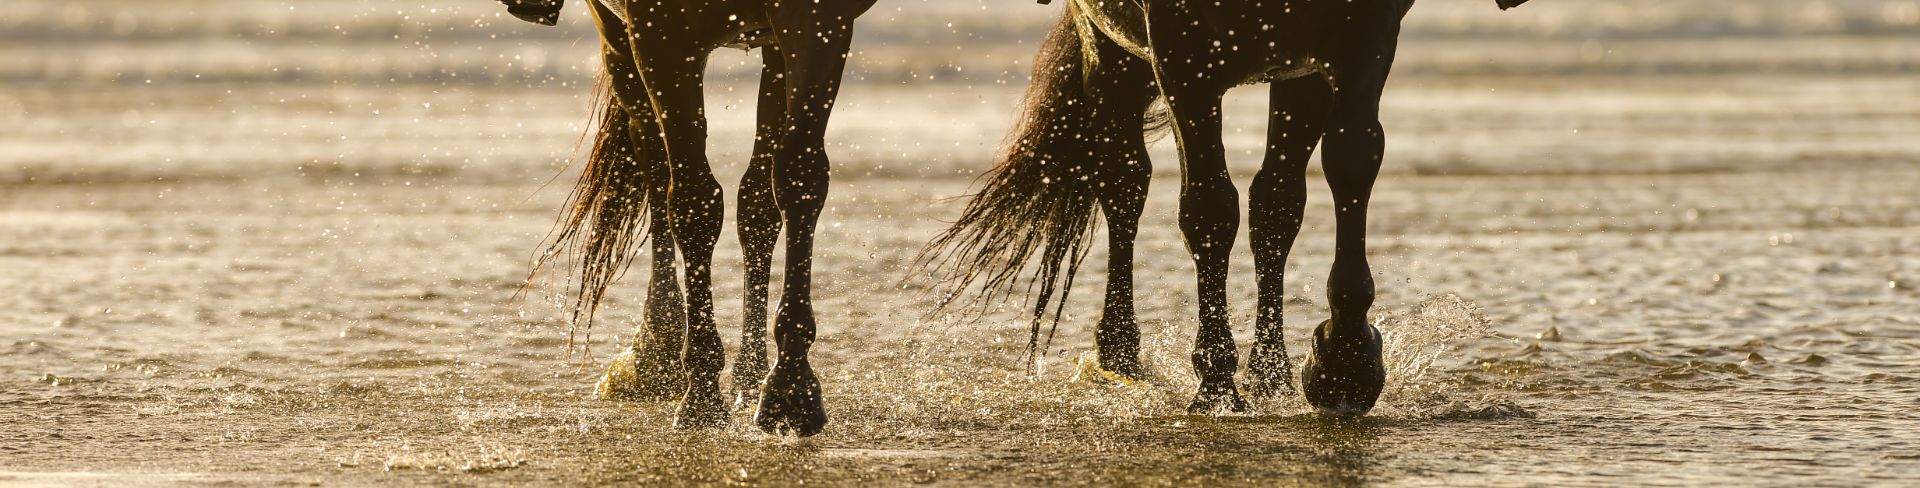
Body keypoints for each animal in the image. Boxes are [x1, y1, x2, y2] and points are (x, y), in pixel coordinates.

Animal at [505, 0, 877, 437]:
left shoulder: (818, 20)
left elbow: (798, 178)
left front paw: (791, 385)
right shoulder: (662, 37)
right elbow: (693, 201)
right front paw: (702, 390)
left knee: (756, 203)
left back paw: (750, 375)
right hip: (619, 41)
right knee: (654, 160)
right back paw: (658, 346)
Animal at [920, 0, 1532, 415]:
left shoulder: (1356, 40)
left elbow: (1349, 159)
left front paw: (1344, 361)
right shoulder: (1182, 53)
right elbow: (1209, 208)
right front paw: (1215, 382)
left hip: (1294, 72)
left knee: (1275, 204)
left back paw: (1271, 374)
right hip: (1112, 48)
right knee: (1124, 183)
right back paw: (1120, 354)